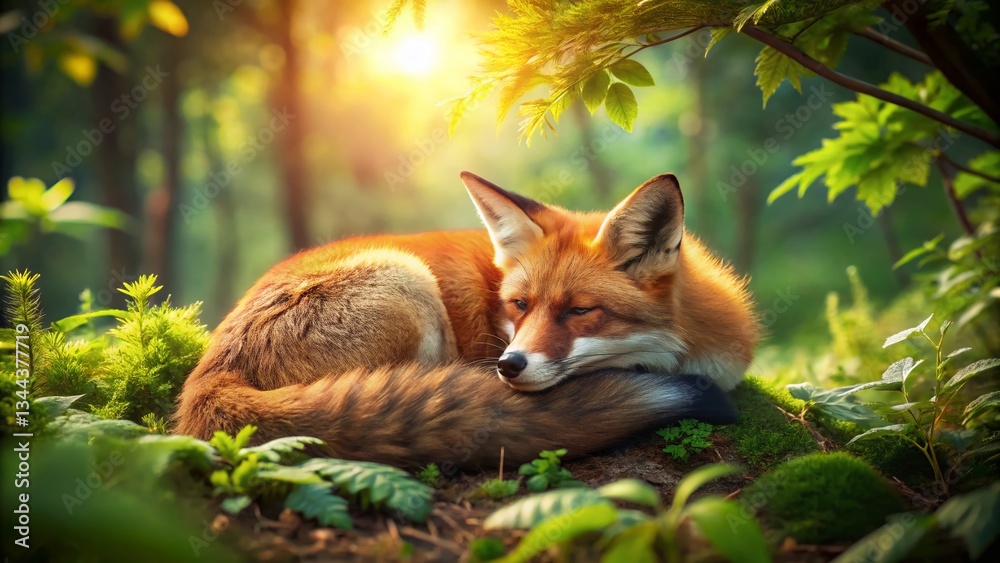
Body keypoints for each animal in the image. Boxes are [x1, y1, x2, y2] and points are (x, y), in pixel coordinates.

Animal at [173, 172, 759, 469]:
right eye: (519, 305)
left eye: (579, 311)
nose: (508, 365)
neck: (683, 347)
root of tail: (210, 376)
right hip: (408, 280)